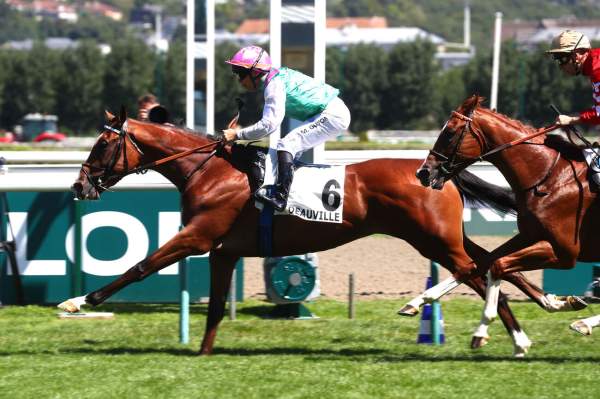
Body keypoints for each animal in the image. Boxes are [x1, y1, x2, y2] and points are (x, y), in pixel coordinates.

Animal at [59, 109, 576, 356]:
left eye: (102, 144)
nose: (78, 185)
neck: (209, 172)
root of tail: (439, 172)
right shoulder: (223, 251)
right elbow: (214, 310)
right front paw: (204, 354)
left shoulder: (197, 238)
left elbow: (140, 266)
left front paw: (78, 302)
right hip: (441, 237)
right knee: (492, 264)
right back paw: (548, 306)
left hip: (434, 240)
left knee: (481, 271)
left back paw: (508, 335)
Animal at [414, 96, 596, 350]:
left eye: (449, 132)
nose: (423, 172)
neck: (549, 179)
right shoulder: (529, 236)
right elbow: (480, 263)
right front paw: (421, 299)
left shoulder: (565, 253)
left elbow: (498, 265)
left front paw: (482, 330)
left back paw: (584, 323)